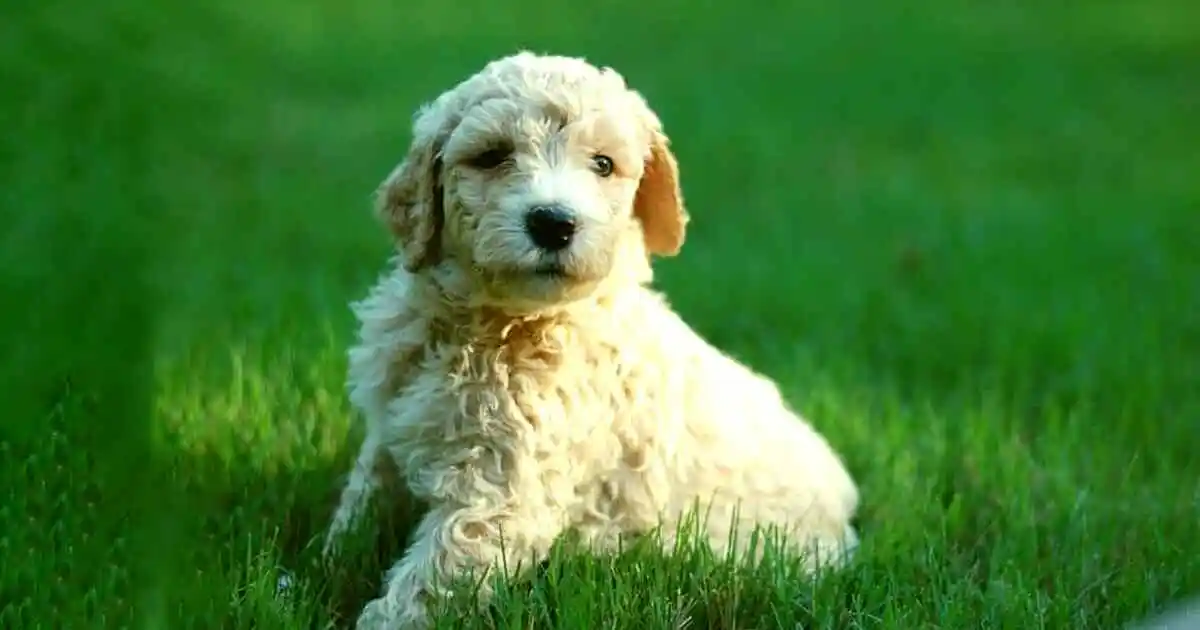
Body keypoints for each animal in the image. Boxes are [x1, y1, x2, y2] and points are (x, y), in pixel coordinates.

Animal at [324, 51, 859, 624]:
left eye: (603, 165)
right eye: (493, 156)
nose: (554, 223)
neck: (495, 323)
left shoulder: (501, 495)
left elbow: (427, 582)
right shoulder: (391, 431)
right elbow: (361, 505)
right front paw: (327, 563)